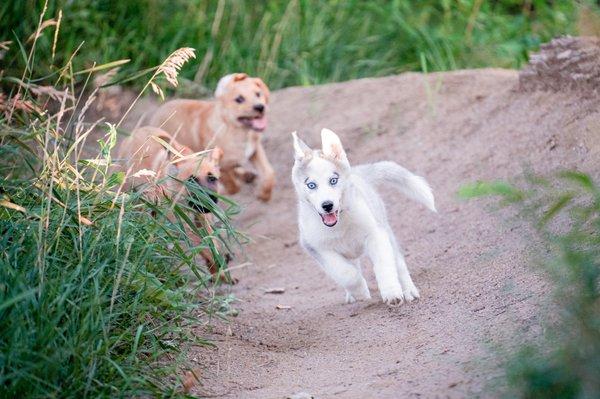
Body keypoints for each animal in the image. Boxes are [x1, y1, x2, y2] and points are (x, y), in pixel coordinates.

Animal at [116, 126, 233, 282]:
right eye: (191, 181)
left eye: (212, 179)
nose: (209, 201)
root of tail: (137, 131)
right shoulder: (181, 226)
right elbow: (203, 245)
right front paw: (218, 267)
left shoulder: (201, 218)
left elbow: (212, 241)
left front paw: (218, 268)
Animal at [149, 72, 276, 200]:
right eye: (239, 99)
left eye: (258, 94)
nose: (260, 107)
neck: (237, 131)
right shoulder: (221, 165)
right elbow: (233, 186)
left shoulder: (255, 150)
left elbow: (269, 172)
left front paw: (264, 194)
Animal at [292, 130, 436, 304]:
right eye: (311, 185)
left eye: (333, 180)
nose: (327, 205)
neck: (340, 224)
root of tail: (356, 173)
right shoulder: (316, 247)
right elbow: (346, 273)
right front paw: (360, 292)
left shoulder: (376, 234)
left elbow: (384, 264)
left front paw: (391, 292)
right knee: (354, 265)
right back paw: (351, 294)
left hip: (384, 227)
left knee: (399, 263)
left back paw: (409, 290)